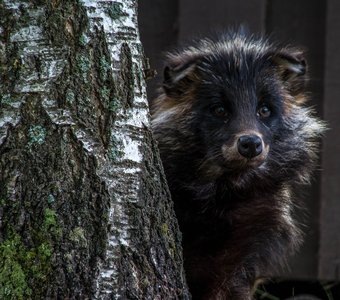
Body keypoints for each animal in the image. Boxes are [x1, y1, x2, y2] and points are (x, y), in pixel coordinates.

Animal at [151, 31, 324, 298]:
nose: (250, 144)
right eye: (219, 109)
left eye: (265, 110)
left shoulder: (256, 230)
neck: (226, 189)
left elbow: (234, 279)